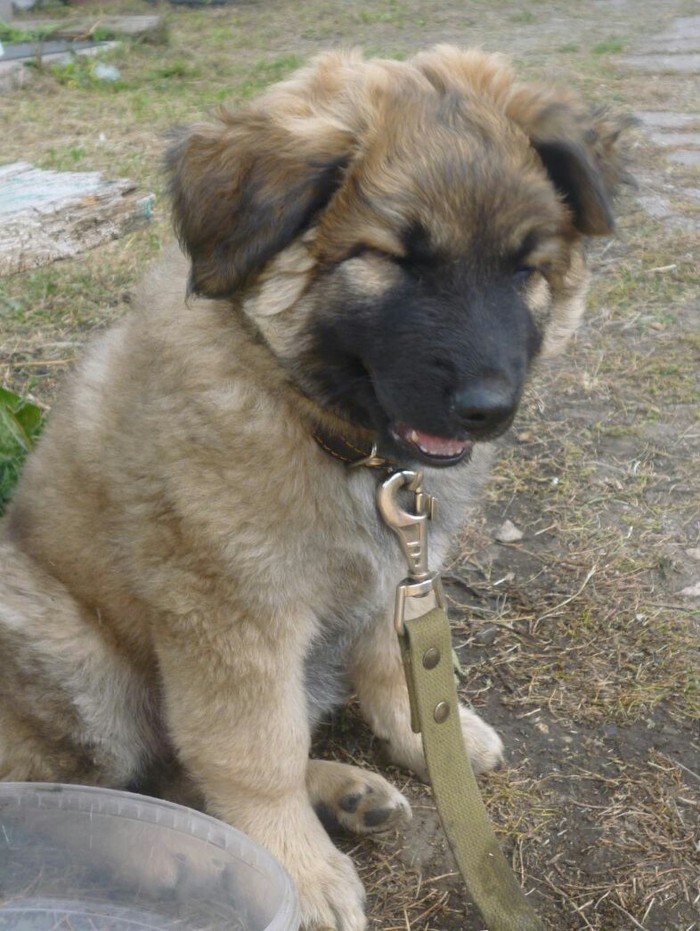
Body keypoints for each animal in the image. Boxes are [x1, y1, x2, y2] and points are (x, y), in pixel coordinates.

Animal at [0, 47, 627, 930]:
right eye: (394, 259)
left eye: (524, 268)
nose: (490, 407)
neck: (327, 426)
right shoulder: (232, 617)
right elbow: (253, 754)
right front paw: (297, 869)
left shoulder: (401, 575)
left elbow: (399, 677)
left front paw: (429, 738)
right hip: (69, 651)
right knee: (92, 800)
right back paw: (186, 855)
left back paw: (347, 794)